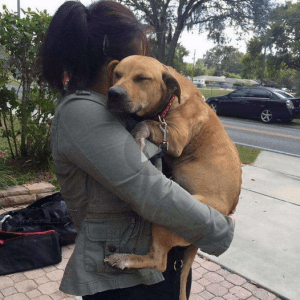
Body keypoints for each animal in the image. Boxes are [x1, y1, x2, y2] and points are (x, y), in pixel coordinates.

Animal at [104, 54, 243, 300]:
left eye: (142, 78)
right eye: (117, 74)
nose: (113, 93)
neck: (169, 103)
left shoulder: (175, 137)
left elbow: (145, 123)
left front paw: (138, 138)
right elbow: (148, 122)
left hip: (169, 216)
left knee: (158, 261)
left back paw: (123, 259)